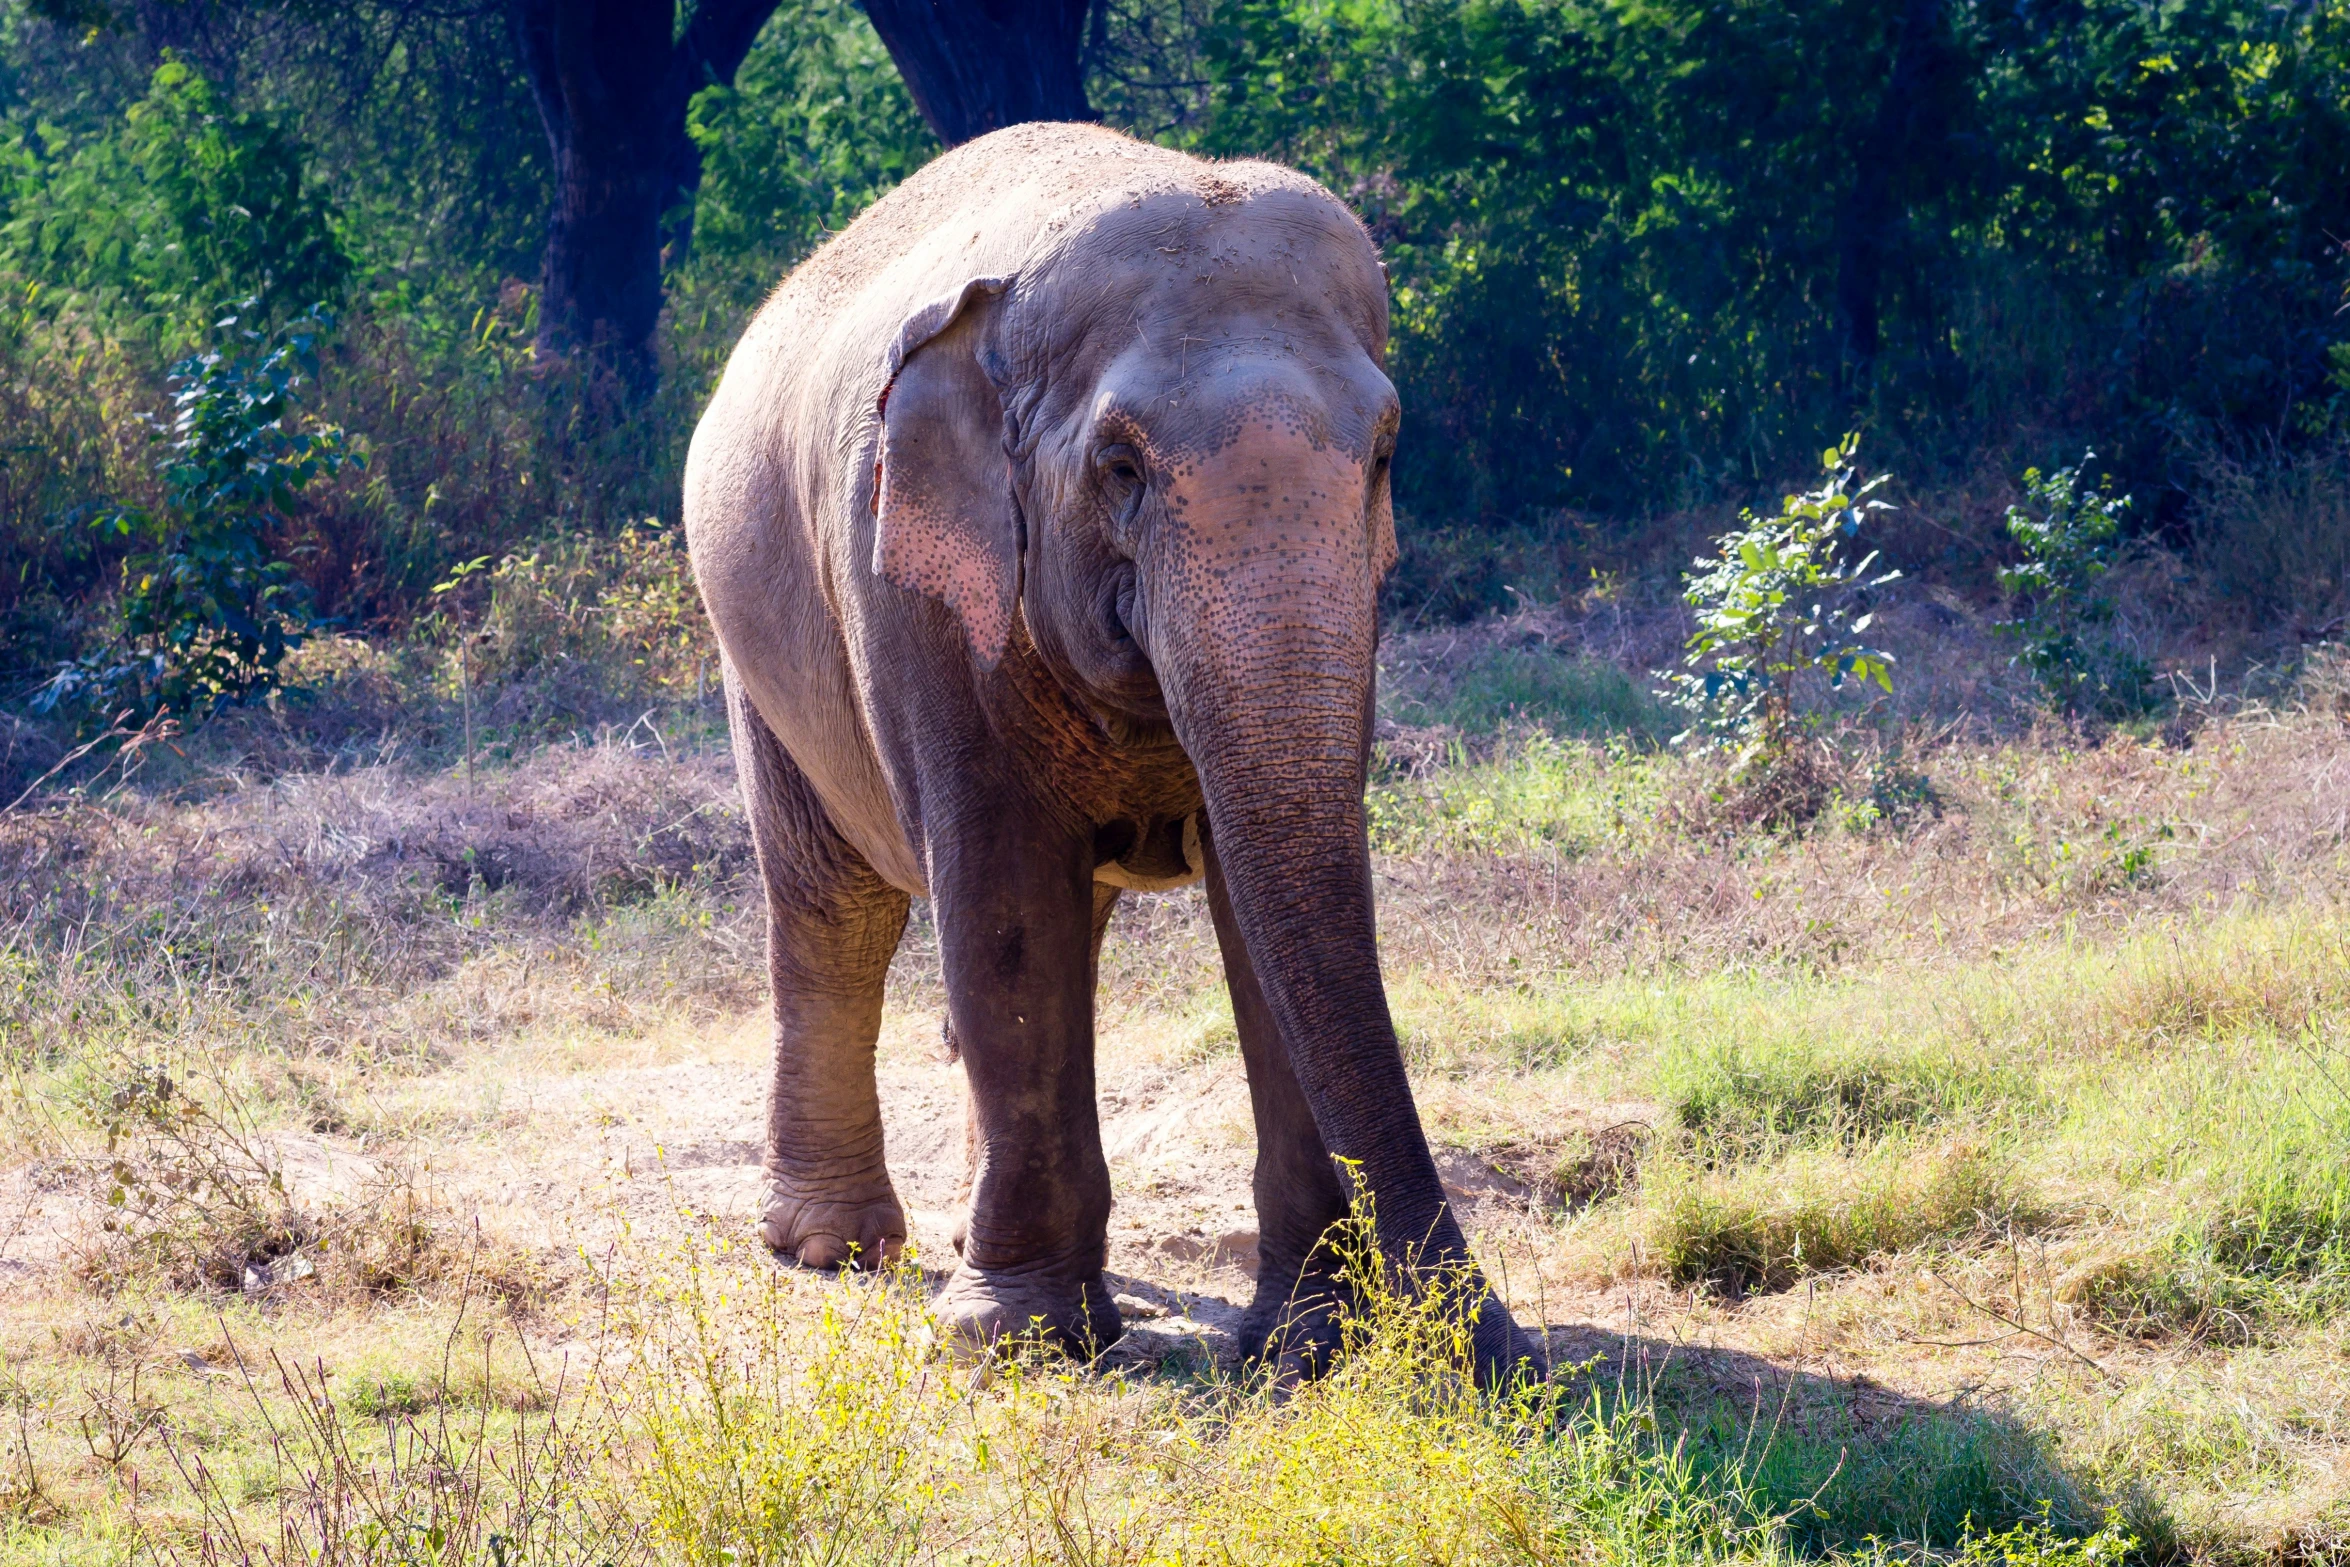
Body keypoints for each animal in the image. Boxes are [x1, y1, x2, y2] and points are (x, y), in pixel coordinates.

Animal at [686, 116, 1541, 1381]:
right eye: (1121, 468)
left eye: (1384, 455)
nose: (1505, 1353)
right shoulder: (916, 599)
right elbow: (1001, 897)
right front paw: (1017, 1340)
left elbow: (1256, 906)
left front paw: (1305, 1349)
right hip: (758, 651)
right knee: (834, 907)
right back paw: (829, 1248)